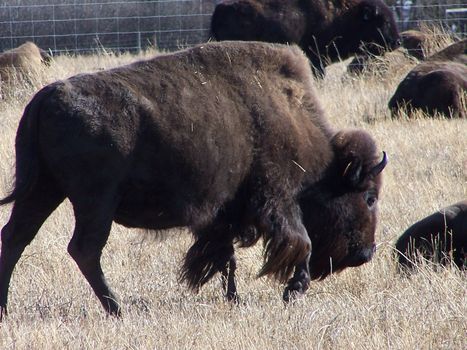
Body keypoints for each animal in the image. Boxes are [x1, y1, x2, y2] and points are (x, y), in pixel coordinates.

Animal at [0, 41, 388, 320]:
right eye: (369, 197)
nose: (365, 253)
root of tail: (45, 97)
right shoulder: (277, 199)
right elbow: (299, 243)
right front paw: (293, 291)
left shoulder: (223, 214)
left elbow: (225, 257)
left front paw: (234, 299)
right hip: (94, 201)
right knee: (83, 249)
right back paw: (118, 309)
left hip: (43, 191)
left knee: (16, 237)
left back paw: (5, 309)